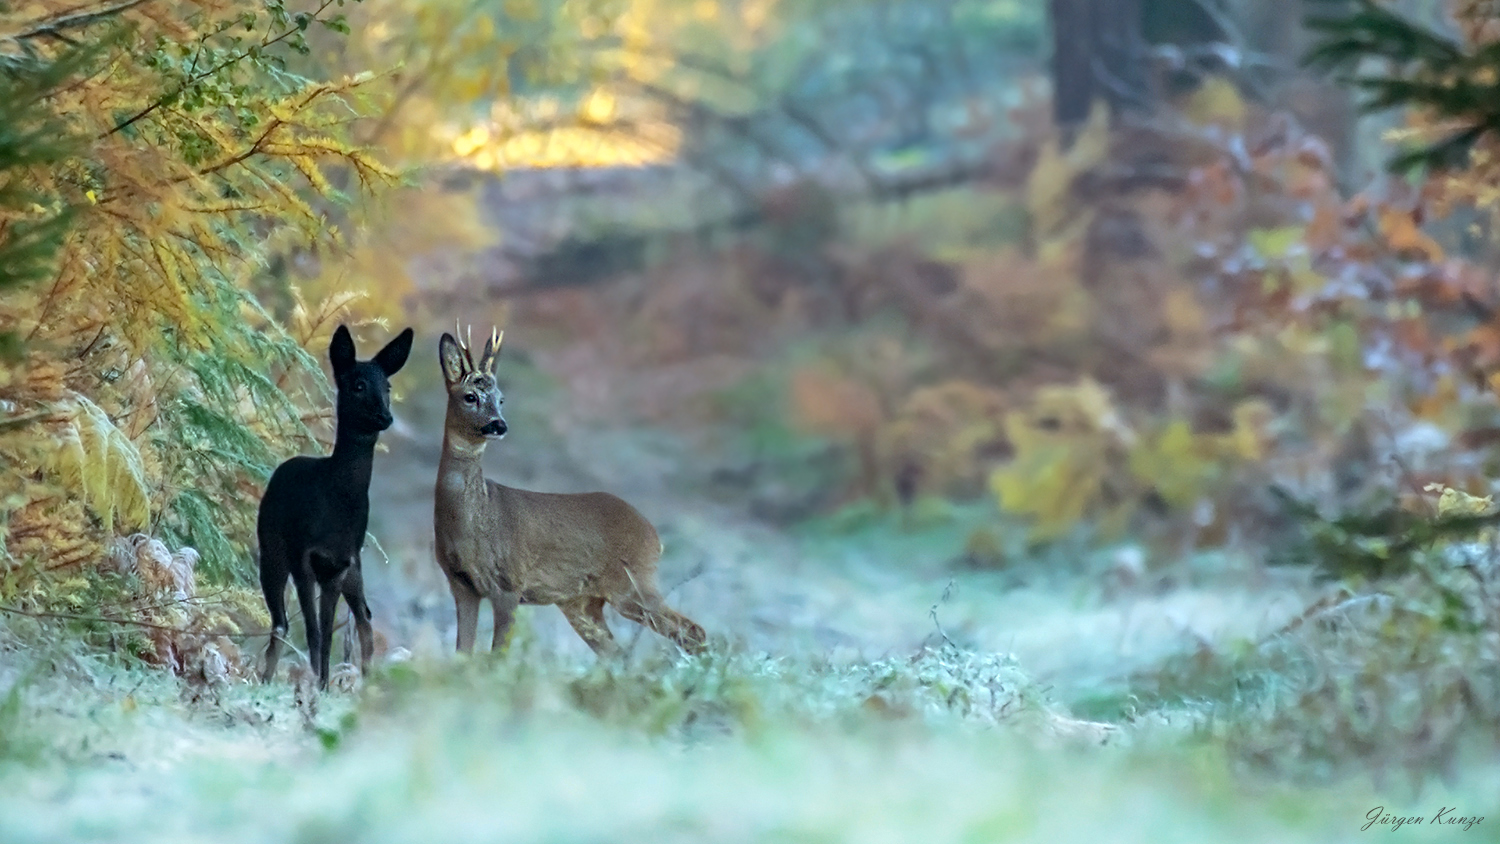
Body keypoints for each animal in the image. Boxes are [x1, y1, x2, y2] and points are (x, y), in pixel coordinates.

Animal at [256, 322, 411, 686]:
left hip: (355, 568)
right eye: (357, 384)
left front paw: (323, 685)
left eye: (387, 385)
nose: (385, 416)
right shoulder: (303, 556)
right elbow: (314, 632)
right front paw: (316, 682)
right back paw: (267, 678)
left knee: (364, 616)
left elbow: (327, 634)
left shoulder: (340, 564)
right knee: (280, 621)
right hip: (271, 549)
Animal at [432, 326, 705, 656]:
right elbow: (463, 653)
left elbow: (497, 656)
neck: (471, 522)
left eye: (501, 398)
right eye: (470, 396)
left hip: (633, 585)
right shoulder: (461, 586)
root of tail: (653, 534)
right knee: (617, 653)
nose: (499, 425)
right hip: (583, 603)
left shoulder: (509, 583)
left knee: (692, 630)